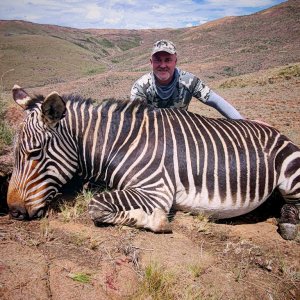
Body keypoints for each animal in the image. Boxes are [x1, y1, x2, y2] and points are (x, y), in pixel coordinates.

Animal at [7, 84, 300, 239]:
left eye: (34, 153)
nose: (13, 211)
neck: (121, 143)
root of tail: (277, 132)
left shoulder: (157, 190)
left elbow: (96, 206)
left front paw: (156, 221)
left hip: (290, 173)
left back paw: (287, 225)